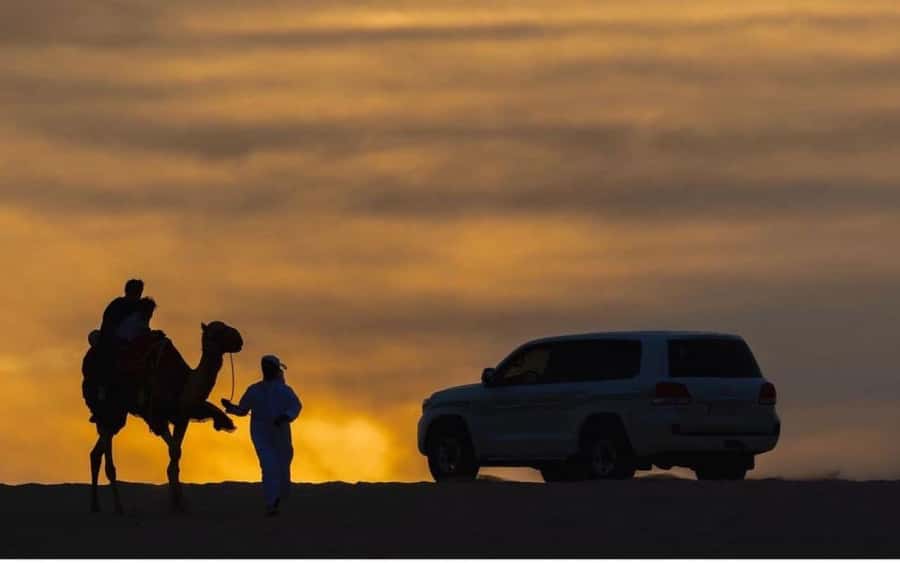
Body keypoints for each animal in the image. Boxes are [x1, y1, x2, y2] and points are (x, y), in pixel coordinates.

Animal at [82, 321, 244, 513]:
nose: (239, 340)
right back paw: (118, 507)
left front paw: (179, 503)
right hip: (109, 409)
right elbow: (173, 452)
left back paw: (95, 505)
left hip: (115, 416)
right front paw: (176, 503)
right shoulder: (158, 419)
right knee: (107, 456)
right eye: (218, 330)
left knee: (96, 453)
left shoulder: (182, 419)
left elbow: (176, 455)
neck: (183, 385)